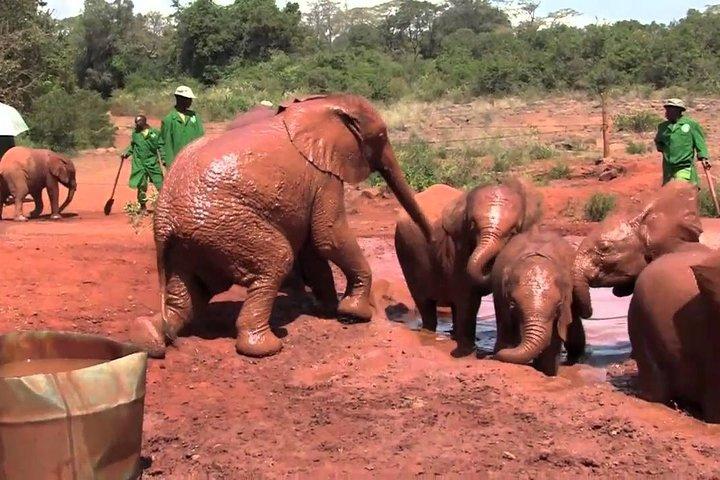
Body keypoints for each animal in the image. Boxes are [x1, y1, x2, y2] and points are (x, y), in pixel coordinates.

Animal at [138, 94, 433, 358]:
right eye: (381, 137)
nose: (431, 239)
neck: (321, 104)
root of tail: (163, 221)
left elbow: (314, 249)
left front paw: (327, 309)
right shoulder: (323, 174)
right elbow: (328, 236)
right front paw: (354, 314)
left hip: (190, 243)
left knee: (188, 296)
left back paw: (149, 338)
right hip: (226, 226)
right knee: (276, 259)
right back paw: (267, 347)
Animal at [394, 177, 541, 355]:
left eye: (513, 232)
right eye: (472, 225)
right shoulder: (457, 247)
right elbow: (468, 297)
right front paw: (469, 349)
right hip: (407, 254)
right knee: (424, 302)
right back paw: (430, 333)